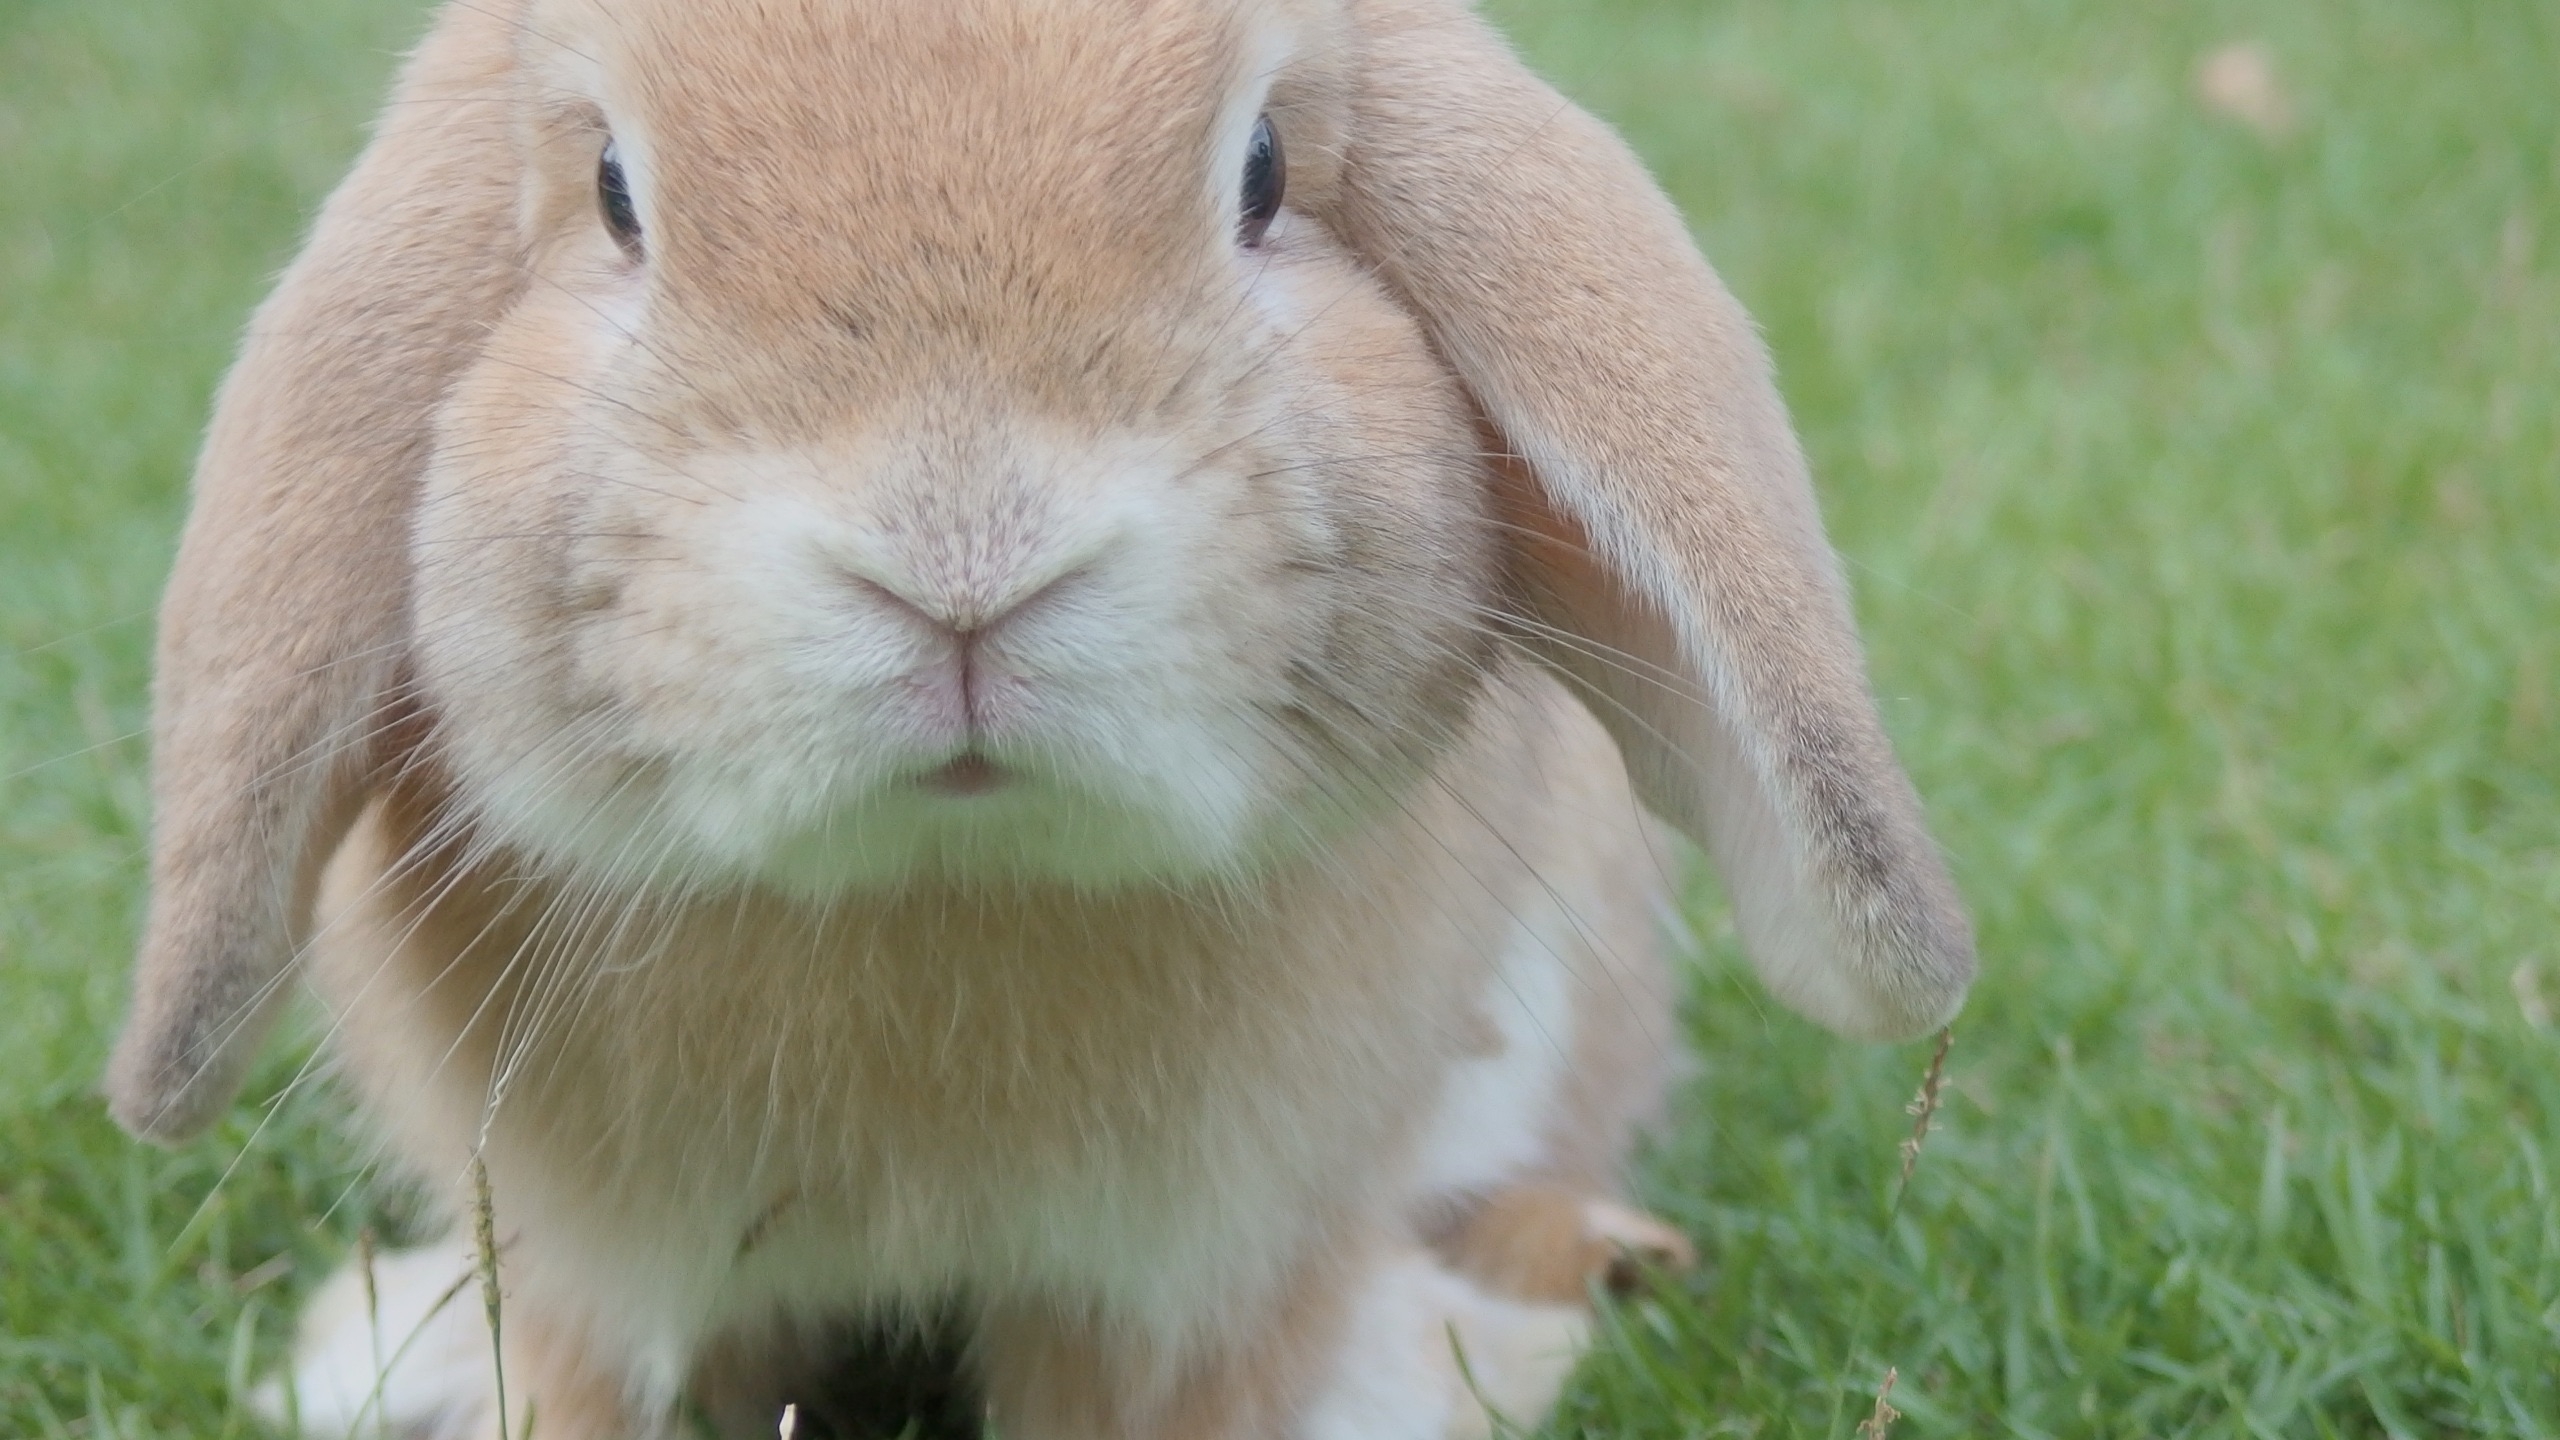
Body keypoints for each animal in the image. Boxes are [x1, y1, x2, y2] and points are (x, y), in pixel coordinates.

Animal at [104, 0, 1976, 1424]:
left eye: (1265, 171)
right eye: (619, 194)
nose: (961, 556)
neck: (944, 885)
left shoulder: (1206, 1281)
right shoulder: (587, 1278)